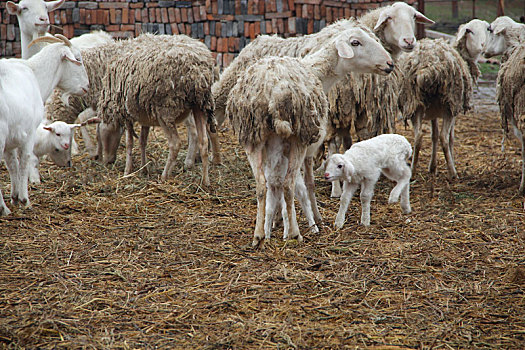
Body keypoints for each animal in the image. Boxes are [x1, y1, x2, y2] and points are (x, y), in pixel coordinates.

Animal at [0, 34, 87, 216]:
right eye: (77, 59)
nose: (87, 86)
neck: (34, 75)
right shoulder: (29, 132)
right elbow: (24, 161)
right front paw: (24, 200)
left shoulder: (10, 141)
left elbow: (12, 165)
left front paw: (14, 197)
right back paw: (4, 209)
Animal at [95, 33, 216, 185]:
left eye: (101, 136)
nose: (107, 162)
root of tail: (198, 71)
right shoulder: (144, 115)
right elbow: (142, 141)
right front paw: (144, 169)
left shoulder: (126, 113)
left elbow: (129, 143)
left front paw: (127, 171)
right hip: (199, 105)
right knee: (203, 142)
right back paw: (205, 181)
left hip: (166, 111)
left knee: (175, 144)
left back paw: (164, 176)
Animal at [225, 26, 392, 246]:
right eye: (355, 43)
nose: (390, 64)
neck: (318, 73)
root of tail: (272, 91)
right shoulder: (309, 149)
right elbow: (308, 184)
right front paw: (313, 218)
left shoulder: (274, 149)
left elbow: (273, 184)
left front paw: (275, 221)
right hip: (299, 137)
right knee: (288, 185)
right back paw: (296, 233)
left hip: (251, 137)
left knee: (261, 185)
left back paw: (259, 235)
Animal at [400, 18, 490, 179]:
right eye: (470, 31)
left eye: (487, 29)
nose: (482, 46)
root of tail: (427, 68)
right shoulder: (454, 109)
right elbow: (450, 138)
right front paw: (450, 161)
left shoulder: (433, 111)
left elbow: (433, 135)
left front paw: (432, 167)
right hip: (450, 102)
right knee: (444, 136)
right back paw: (453, 173)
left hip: (413, 102)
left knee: (418, 137)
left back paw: (413, 171)